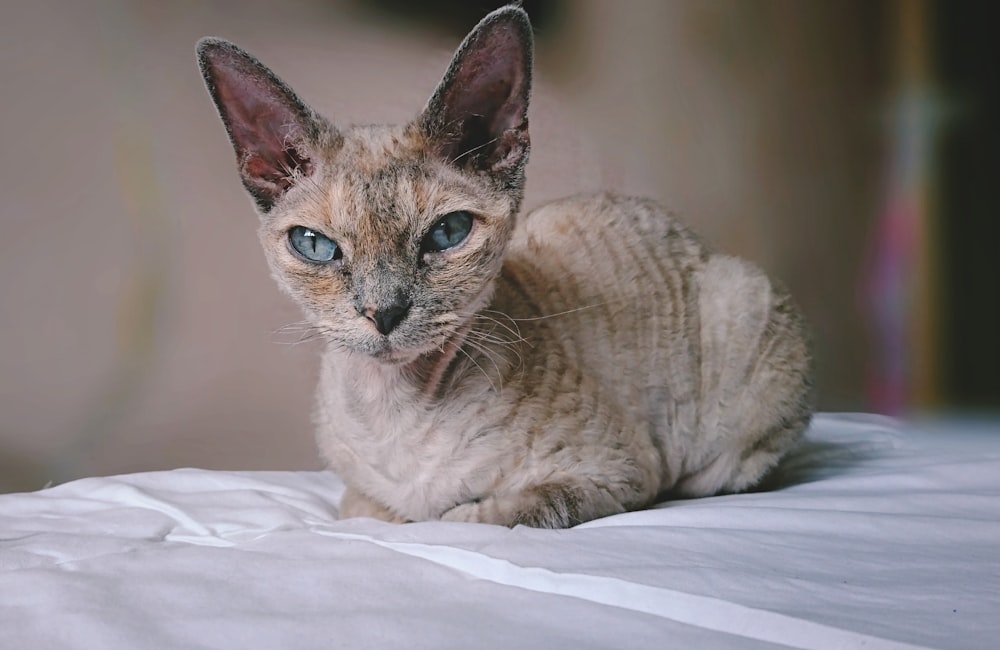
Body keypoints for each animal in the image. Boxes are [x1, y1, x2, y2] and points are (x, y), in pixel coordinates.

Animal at [197, 5, 812, 528]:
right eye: (316, 247)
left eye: (447, 234)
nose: (383, 311)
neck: (394, 407)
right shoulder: (359, 497)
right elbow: (367, 511)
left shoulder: (614, 474)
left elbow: (468, 518)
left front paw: (448, 513)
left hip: (743, 318)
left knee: (713, 475)